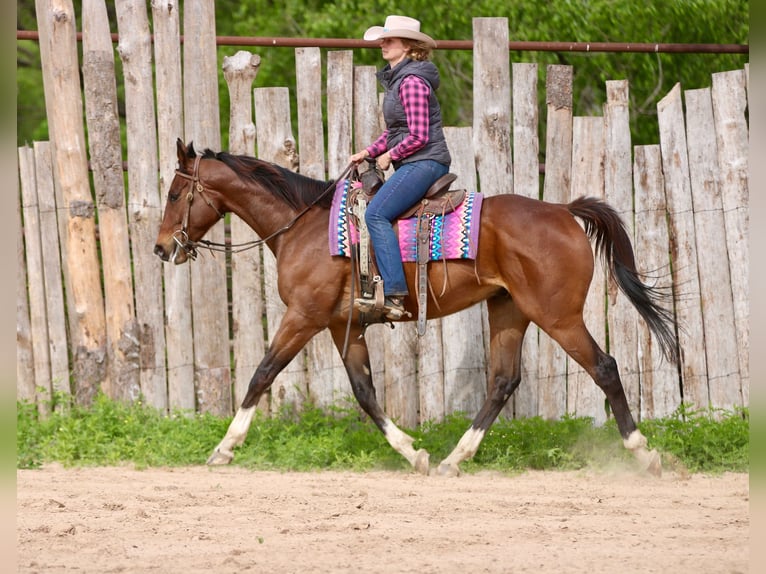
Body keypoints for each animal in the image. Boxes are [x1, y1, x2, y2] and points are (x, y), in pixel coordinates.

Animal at [154, 139, 678, 477]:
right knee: (502, 381)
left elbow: (262, 374)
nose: (161, 249)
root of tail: (564, 211)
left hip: (559, 317)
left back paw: (645, 454)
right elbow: (365, 392)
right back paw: (453, 459)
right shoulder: (343, 326)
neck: (303, 227)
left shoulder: (302, 318)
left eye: (176, 193)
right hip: (509, 310)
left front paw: (224, 448)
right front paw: (413, 453)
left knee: (605, 367)